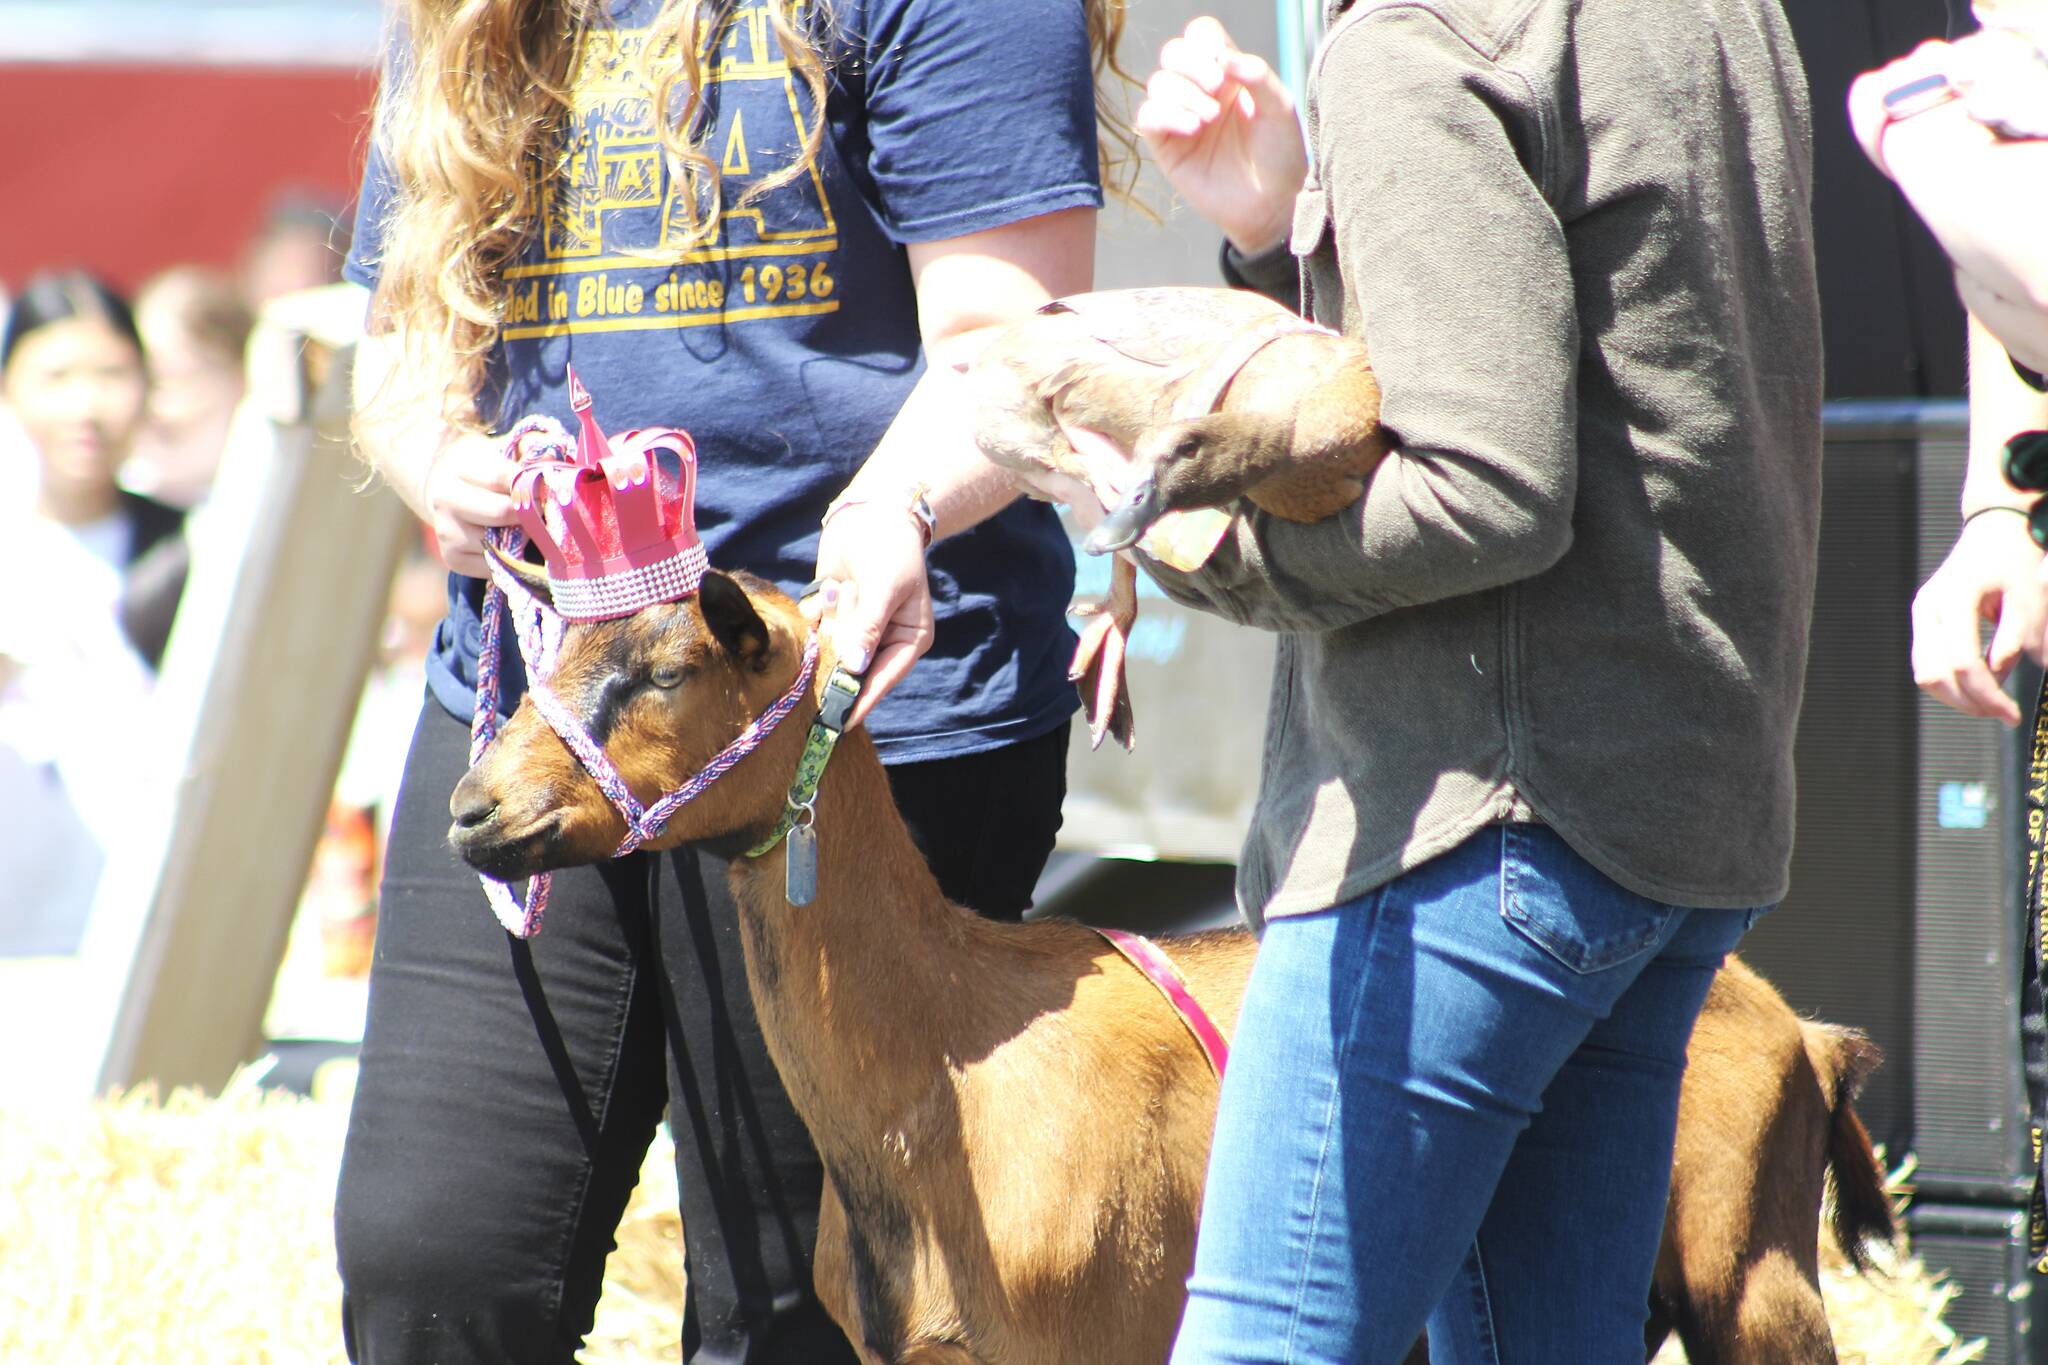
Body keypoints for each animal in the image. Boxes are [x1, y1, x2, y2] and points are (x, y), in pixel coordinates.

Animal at [456, 573, 1892, 1365]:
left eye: (663, 670)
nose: (475, 810)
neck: (940, 1054)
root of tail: (1806, 1032)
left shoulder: (1085, 1340)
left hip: (1752, 1273)